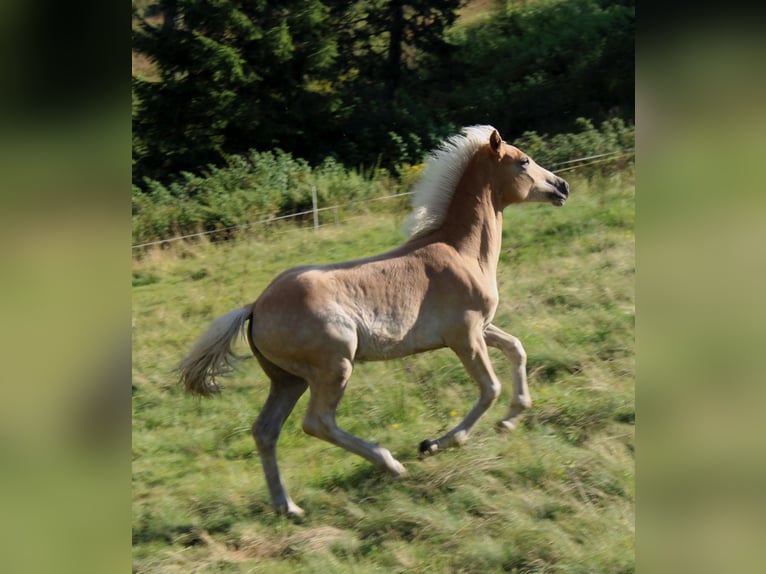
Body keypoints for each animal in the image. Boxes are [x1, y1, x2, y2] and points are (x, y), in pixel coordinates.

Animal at [177, 128, 568, 520]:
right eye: (524, 162)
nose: (561, 186)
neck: (462, 252)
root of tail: (255, 307)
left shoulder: (483, 327)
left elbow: (517, 348)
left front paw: (509, 420)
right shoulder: (465, 335)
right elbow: (489, 389)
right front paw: (434, 444)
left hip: (288, 380)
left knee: (265, 430)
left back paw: (288, 507)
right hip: (334, 366)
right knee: (317, 422)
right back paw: (391, 464)